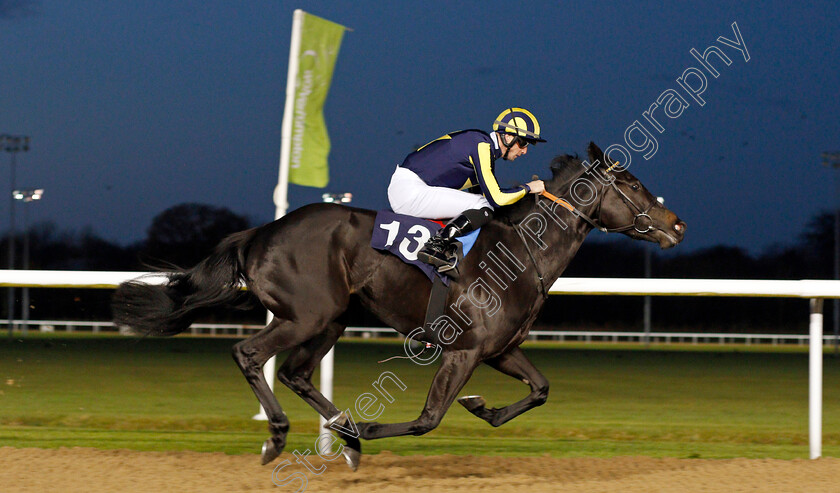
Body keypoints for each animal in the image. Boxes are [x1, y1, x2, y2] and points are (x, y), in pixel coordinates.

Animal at [111, 143, 684, 468]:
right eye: (633, 184)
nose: (676, 224)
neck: (522, 250)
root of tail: (261, 233)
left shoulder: (499, 349)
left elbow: (540, 390)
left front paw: (483, 406)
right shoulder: (463, 351)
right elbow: (428, 419)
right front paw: (369, 429)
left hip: (334, 318)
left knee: (295, 373)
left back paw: (345, 436)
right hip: (308, 314)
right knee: (250, 355)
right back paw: (283, 437)